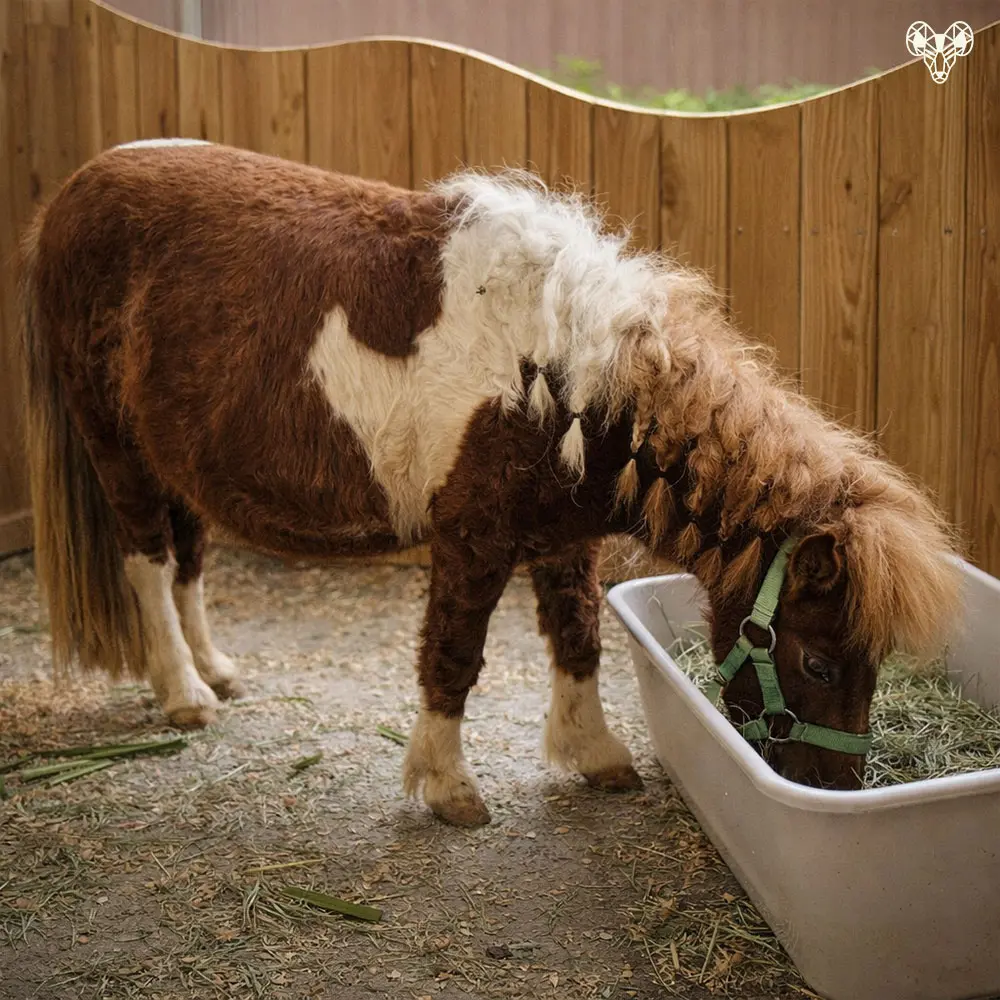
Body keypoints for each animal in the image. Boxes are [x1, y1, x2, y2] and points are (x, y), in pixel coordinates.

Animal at [19, 140, 962, 827]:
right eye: (817, 658)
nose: (836, 788)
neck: (567, 376)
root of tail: (71, 193)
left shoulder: (563, 538)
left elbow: (578, 639)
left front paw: (595, 755)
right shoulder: (472, 538)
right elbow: (455, 655)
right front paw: (447, 786)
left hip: (176, 461)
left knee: (187, 561)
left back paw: (214, 671)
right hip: (116, 449)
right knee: (146, 561)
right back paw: (182, 695)